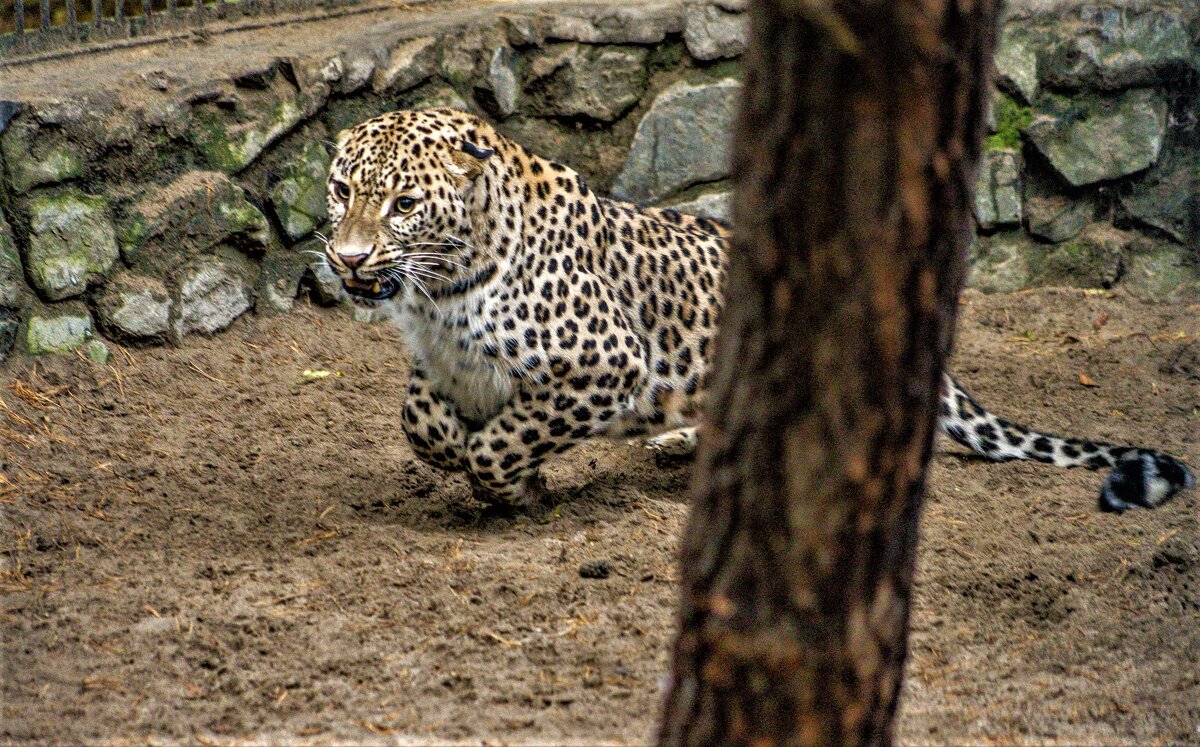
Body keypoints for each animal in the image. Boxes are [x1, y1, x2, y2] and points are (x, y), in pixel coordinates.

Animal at [319, 108, 1190, 514]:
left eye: (402, 204)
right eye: (339, 189)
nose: (349, 258)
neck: (447, 282)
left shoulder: (607, 363)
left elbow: (502, 442)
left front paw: (513, 488)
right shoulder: (442, 362)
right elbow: (422, 422)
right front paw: (465, 459)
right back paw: (679, 440)